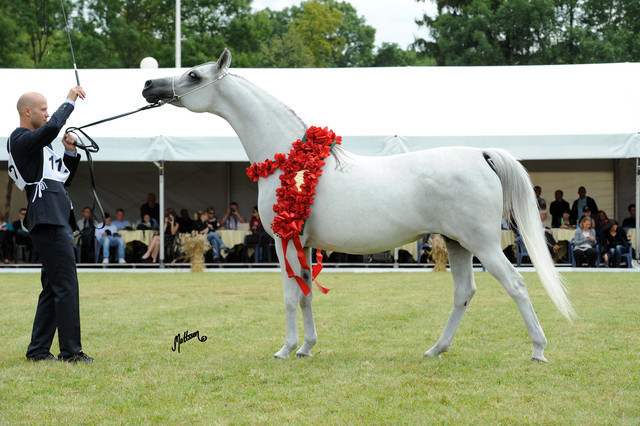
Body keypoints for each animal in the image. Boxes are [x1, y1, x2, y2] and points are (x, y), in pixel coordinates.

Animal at [142, 49, 574, 362]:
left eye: (194, 76)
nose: (149, 85)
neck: (288, 161)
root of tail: (480, 155)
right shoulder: (303, 243)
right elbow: (306, 293)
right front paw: (306, 348)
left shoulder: (284, 241)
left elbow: (289, 296)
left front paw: (285, 349)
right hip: (457, 245)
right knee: (463, 293)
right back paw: (436, 349)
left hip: (482, 244)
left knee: (516, 284)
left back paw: (538, 350)